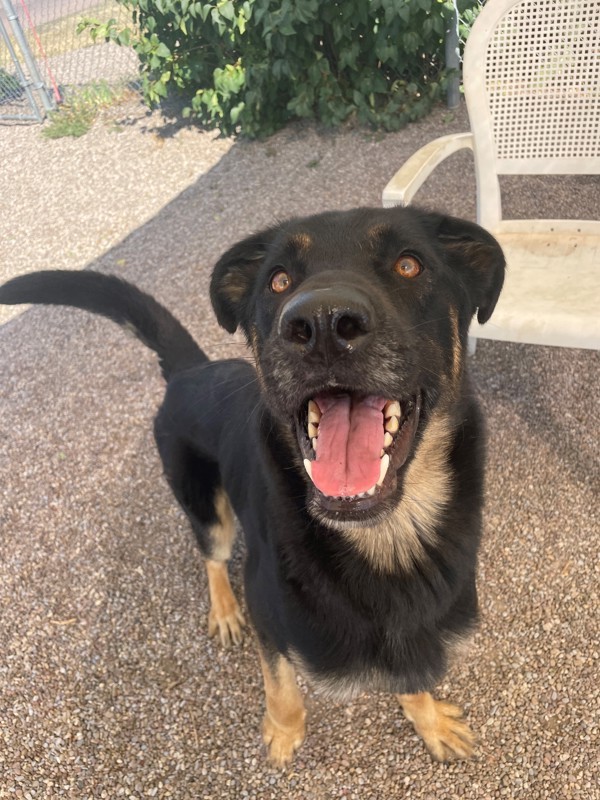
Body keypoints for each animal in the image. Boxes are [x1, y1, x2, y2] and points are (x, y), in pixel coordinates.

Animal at [0, 205, 504, 764]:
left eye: (409, 264)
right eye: (278, 280)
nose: (322, 324)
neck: (386, 537)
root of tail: (190, 371)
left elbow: (412, 679)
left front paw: (428, 719)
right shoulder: (268, 609)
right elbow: (280, 680)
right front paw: (283, 731)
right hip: (207, 508)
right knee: (212, 556)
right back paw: (223, 609)